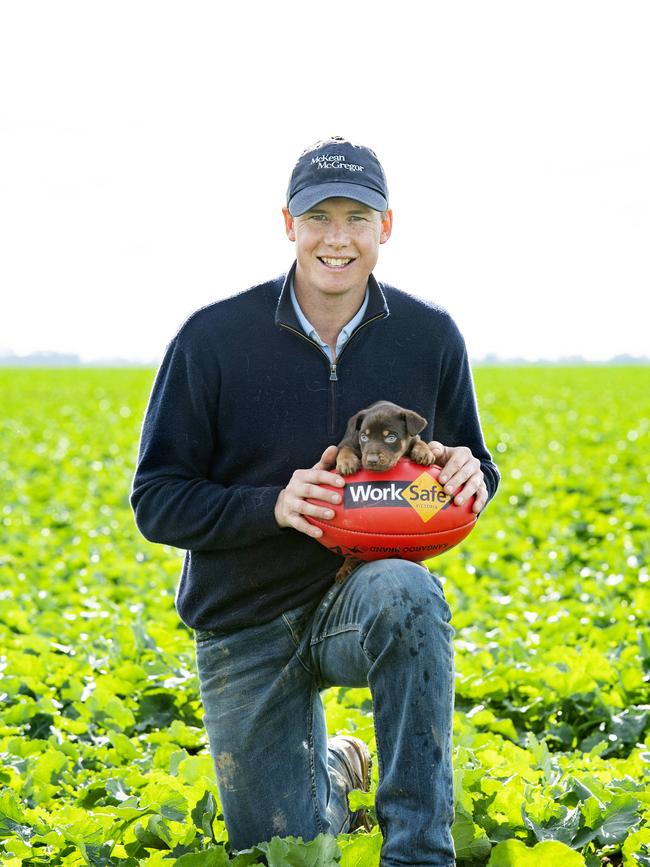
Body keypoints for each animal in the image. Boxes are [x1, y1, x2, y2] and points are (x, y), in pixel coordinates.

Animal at [332, 406, 432, 584]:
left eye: (391, 437)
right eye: (364, 437)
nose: (371, 460)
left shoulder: (413, 438)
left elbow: (419, 441)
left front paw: (424, 452)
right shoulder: (350, 442)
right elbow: (345, 448)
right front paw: (346, 462)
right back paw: (345, 569)